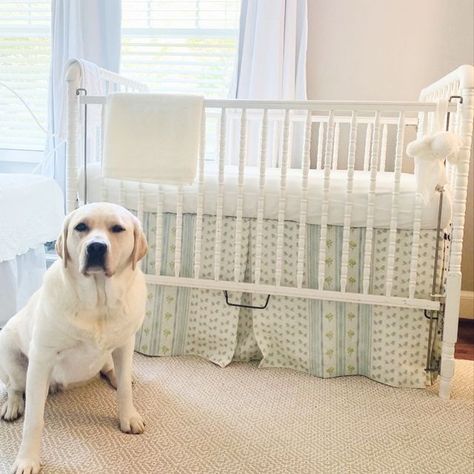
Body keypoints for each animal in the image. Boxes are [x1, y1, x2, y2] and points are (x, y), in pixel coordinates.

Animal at [0, 202, 148, 472]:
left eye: (117, 229)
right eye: (81, 227)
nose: (96, 247)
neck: (99, 302)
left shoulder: (124, 345)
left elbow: (124, 390)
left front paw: (128, 416)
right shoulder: (42, 359)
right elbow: (33, 419)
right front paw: (27, 459)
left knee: (110, 369)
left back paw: (116, 375)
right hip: (8, 351)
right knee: (15, 386)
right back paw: (13, 405)